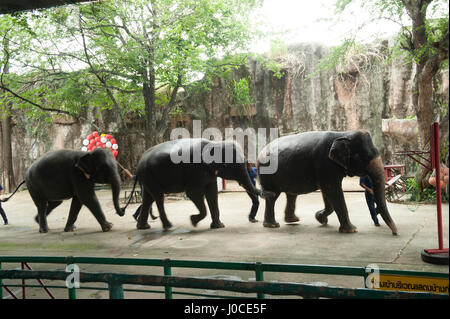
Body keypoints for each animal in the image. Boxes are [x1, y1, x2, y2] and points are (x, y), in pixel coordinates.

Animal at [134, 139, 274, 231]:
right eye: (227, 165)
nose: (271, 193)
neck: (215, 143)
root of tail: (140, 161)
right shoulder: (194, 170)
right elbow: (193, 193)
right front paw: (193, 221)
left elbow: (212, 193)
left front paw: (218, 226)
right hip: (149, 175)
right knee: (158, 198)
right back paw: (168, 226)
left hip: (148, 177)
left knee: (148, 198)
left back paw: (143, 227)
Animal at [256, 129, 398, 235]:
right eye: (361, 158)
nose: (395, 233)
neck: (343, 134)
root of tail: (261, 151)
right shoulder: (325, 163)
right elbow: (332, 190)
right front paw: (352, 230)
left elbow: (327, 192)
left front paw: (320, 219)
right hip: (267, 174)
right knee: (272, 196)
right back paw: (273, 225)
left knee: (290, 195)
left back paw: (292, 220)